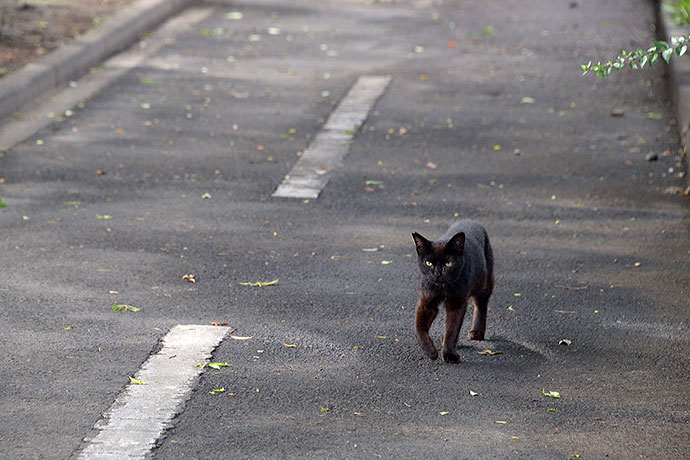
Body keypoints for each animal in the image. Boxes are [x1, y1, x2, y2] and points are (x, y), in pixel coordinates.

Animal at [412, 219, 492, 362]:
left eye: (448, 263)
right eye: (428, 263)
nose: (437, 273)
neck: (442, 288)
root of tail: (471, 221)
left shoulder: (457, 302)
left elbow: (452, 329)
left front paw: (449, 354)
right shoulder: (426, 302)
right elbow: (419, 328)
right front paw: (430, 351)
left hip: (484, 283)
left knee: (481, 305)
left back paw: (477, 332)